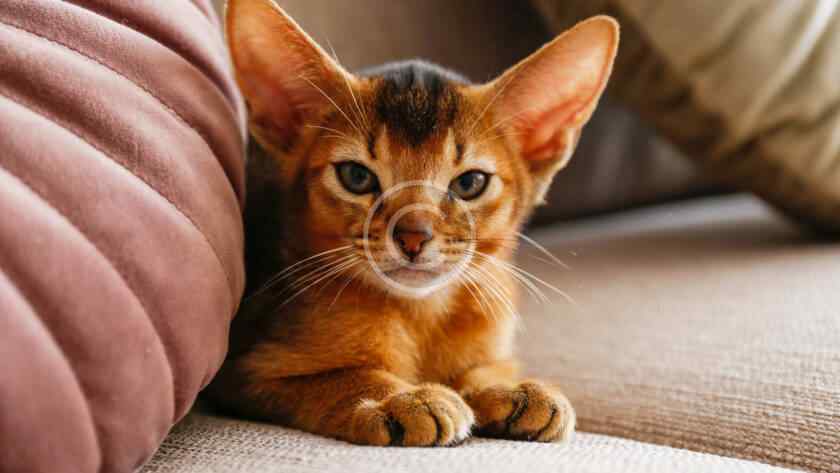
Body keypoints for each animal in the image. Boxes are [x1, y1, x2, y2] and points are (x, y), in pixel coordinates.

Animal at [206, 0, 618, 447]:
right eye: (356, 176)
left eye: (470, 183)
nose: (412, 237)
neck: (423, 316)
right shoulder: (249, 368)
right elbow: (346, 376)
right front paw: (403, 400)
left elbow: (482, 369)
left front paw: (511, 388)